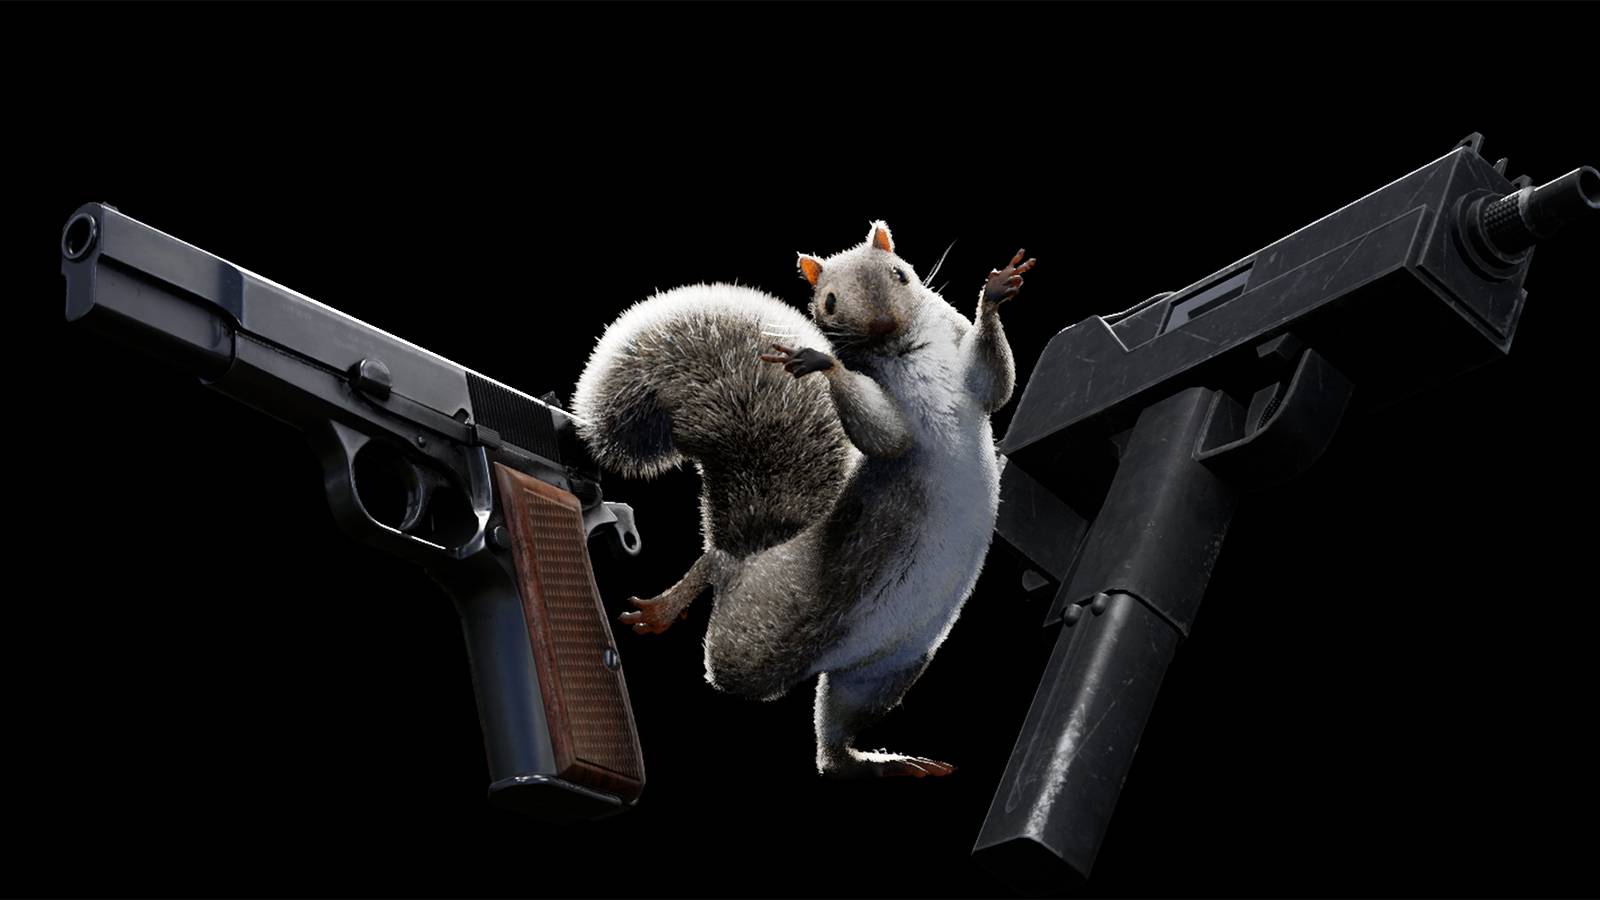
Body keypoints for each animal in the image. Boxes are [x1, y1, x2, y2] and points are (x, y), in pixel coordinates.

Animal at [571, 221, 1034, 778]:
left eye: (900, 273)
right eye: (829, 301)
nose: (883, 322)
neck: (908, 351)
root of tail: (753, 559)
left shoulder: (965, 363)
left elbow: (996, 382)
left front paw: (998, 289)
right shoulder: (892, 415)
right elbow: (888, 436)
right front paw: (819, 361)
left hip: (879, 672)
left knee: (833, 744)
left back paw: (882, 762)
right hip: (754, 638)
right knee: (720, 589)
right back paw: (667, 607)